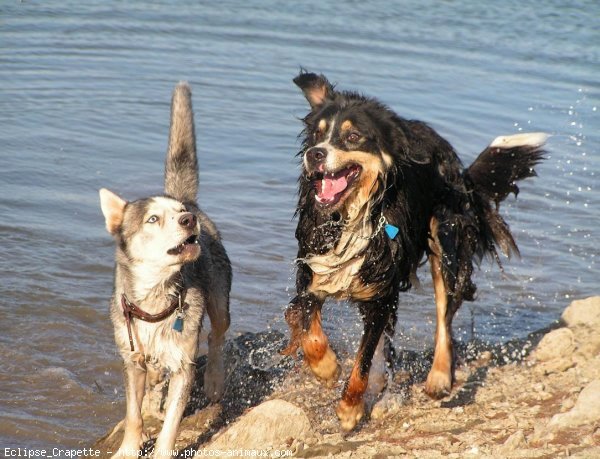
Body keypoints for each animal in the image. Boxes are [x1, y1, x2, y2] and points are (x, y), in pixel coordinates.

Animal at [284, 71, 548, 432]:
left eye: (352, 136)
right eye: (317, 134)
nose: (315, 154)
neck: (352, 215)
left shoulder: (380, 294)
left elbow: (363, 359)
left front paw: (350, 408)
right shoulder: (313, 269)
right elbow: (305, 323)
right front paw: (326, 367)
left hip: (445, 243)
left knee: (444, 315)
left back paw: (439, 378)